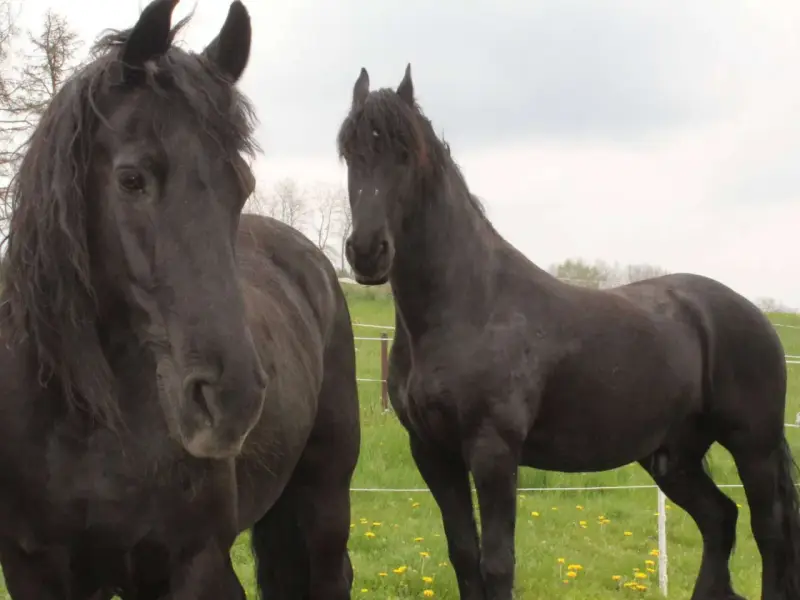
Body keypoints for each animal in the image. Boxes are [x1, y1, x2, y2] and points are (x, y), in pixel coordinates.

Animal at [0, 1, 360, 597]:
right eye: (131, 179)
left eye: (241, 185)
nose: (232, 400)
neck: (86, 425)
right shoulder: (36, 567)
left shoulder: (194, 562)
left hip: (325, 503)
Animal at [336, 64, 800, 600]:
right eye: (349, 151)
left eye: (405, 153)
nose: (367, 251)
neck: (470, 306)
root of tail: (753, 315)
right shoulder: (432, 452)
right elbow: (464, 556)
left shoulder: (494, 452)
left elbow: (497, 563)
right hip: (673, 455)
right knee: (720, 520)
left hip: (753, 446)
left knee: (770, 534)